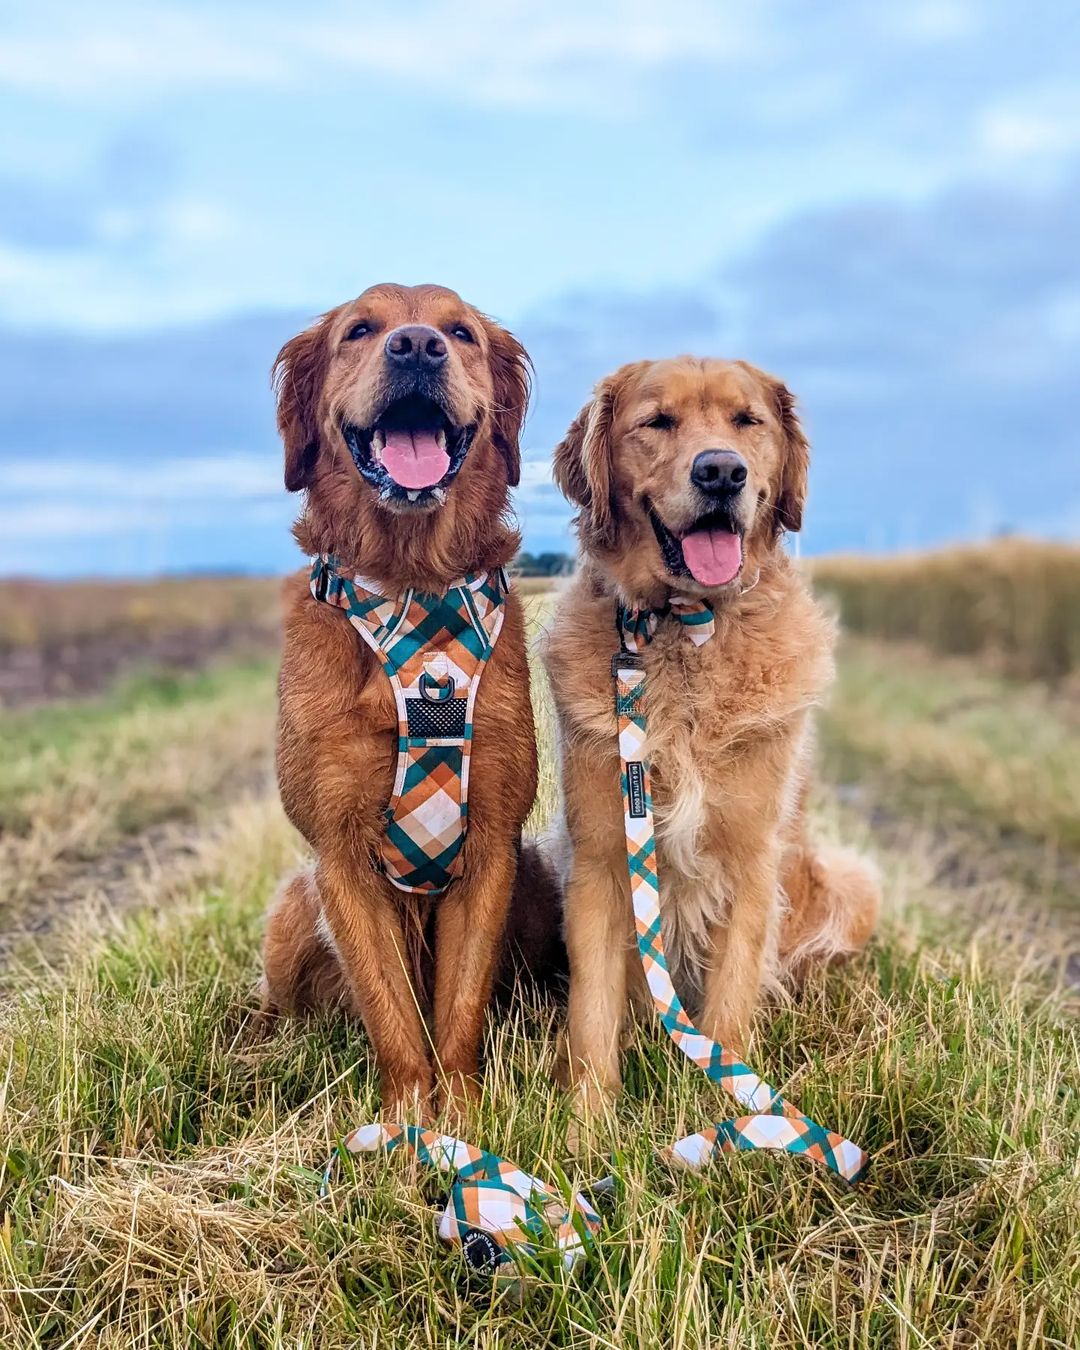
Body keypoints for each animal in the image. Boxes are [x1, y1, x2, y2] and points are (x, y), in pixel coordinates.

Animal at [257, 284, 545, 1117]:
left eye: (461, 332)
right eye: (359, 328)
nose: (417, 346)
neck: (412, 587)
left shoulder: (492, 847)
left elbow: (458, 1011)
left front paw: (465, 1118)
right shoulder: (339, 857)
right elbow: (390, 1013)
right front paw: (409, 1123)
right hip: (294, 908)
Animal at [545, 353, 880, 1101]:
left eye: (746, 421)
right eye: (657, 422)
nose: (722, 472)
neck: (686, 626)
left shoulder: (754, 862)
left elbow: (730, 1006)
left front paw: (736, 1117)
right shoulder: (600, 860)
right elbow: (592, 1016)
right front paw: (587, 1121)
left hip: (851, 881)